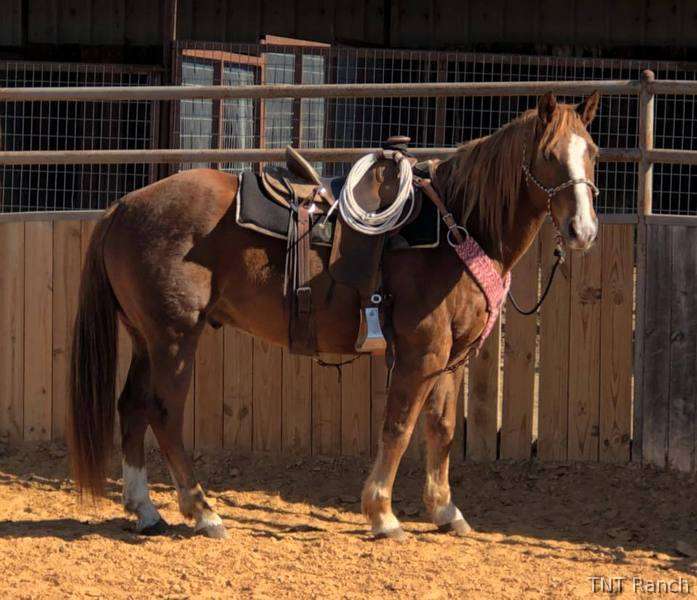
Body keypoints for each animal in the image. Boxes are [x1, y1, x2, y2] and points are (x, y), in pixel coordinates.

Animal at [68, 91, 600, 539]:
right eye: (549, 156)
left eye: (592, 152)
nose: (583, 230)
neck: (456, 228)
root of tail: (124, 205)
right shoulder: (422, 354)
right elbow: (399, 428)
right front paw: (382, 515)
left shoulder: (452, 359)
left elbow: (442, 429)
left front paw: (446, 511)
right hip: (175, 337)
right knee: (164, 414)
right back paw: (203, 512)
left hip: (146, 337)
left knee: (132, 408)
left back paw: (145, 510)